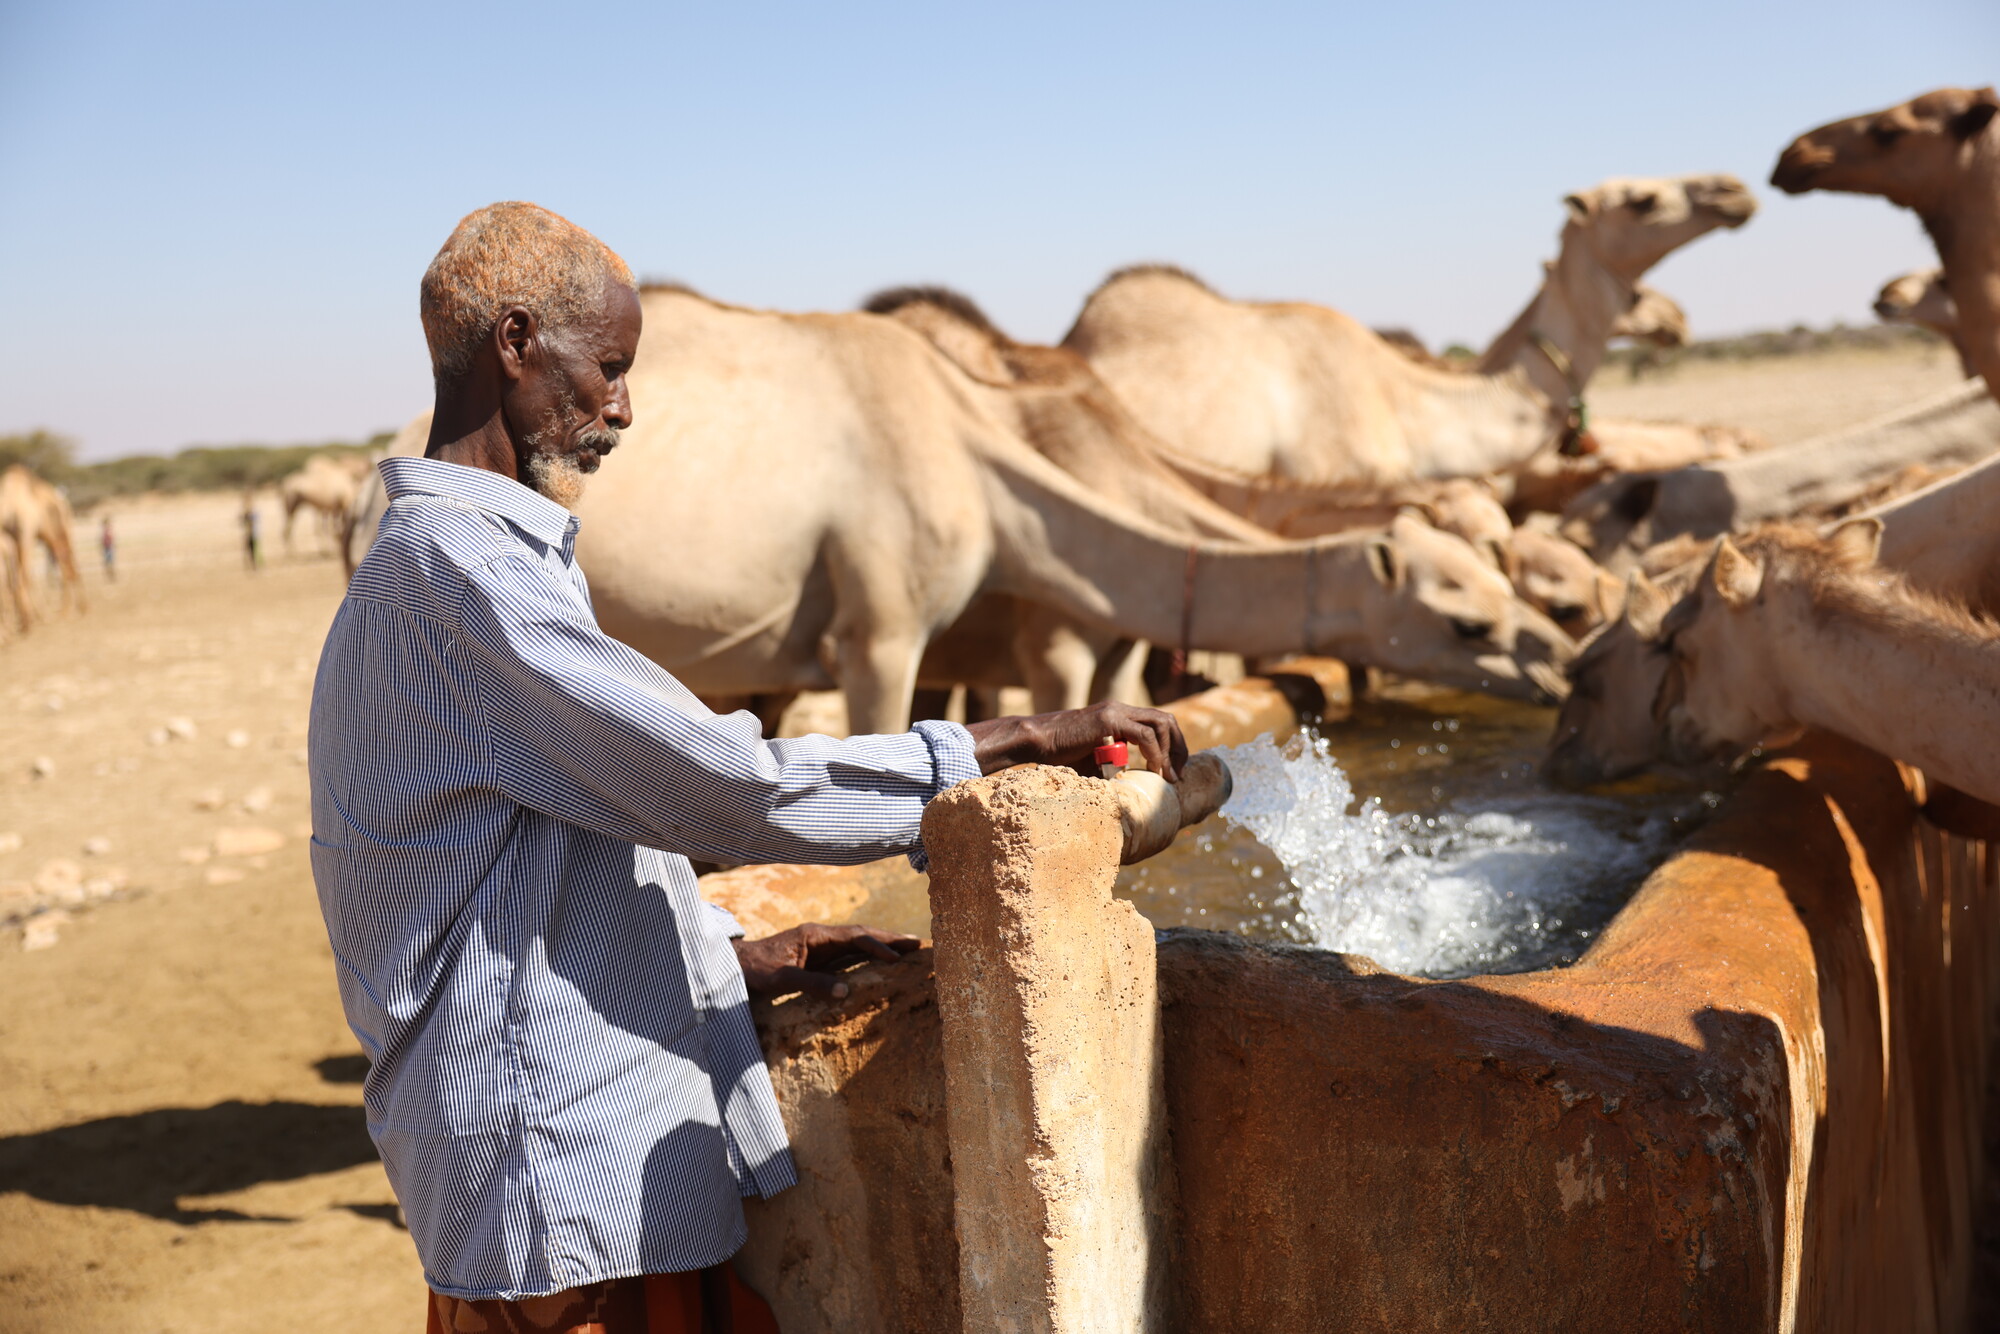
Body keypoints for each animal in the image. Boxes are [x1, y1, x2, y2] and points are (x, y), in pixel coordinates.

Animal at [0, 464, 86, 631]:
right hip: (50, 534)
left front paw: (29, 621)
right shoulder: (12, 539)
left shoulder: (23, 533)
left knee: (66, 561)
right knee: (65, 560)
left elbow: (22, 577)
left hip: (59, 528)